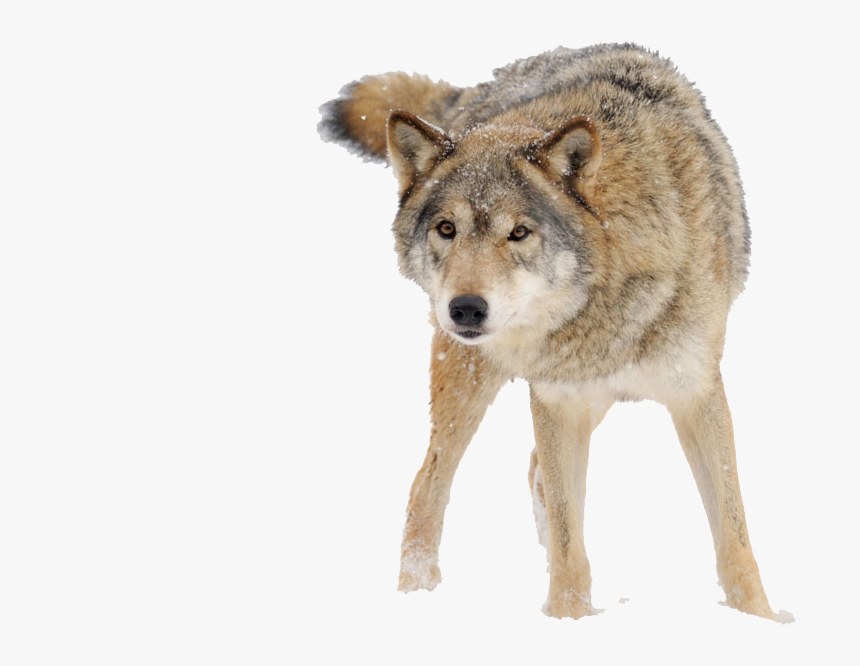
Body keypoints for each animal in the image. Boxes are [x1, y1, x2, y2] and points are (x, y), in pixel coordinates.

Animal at [318, 43, 784, 621]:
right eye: (447, 229)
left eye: (519, 232)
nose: (465, 310)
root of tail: (482, 95)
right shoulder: (557, 401)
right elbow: (568, 542)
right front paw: (569, 620)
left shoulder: (696, 392)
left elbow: (733, 538)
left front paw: (759, 620)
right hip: (471, 376)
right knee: (428, 484)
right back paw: (416, 595)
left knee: (533, 471)